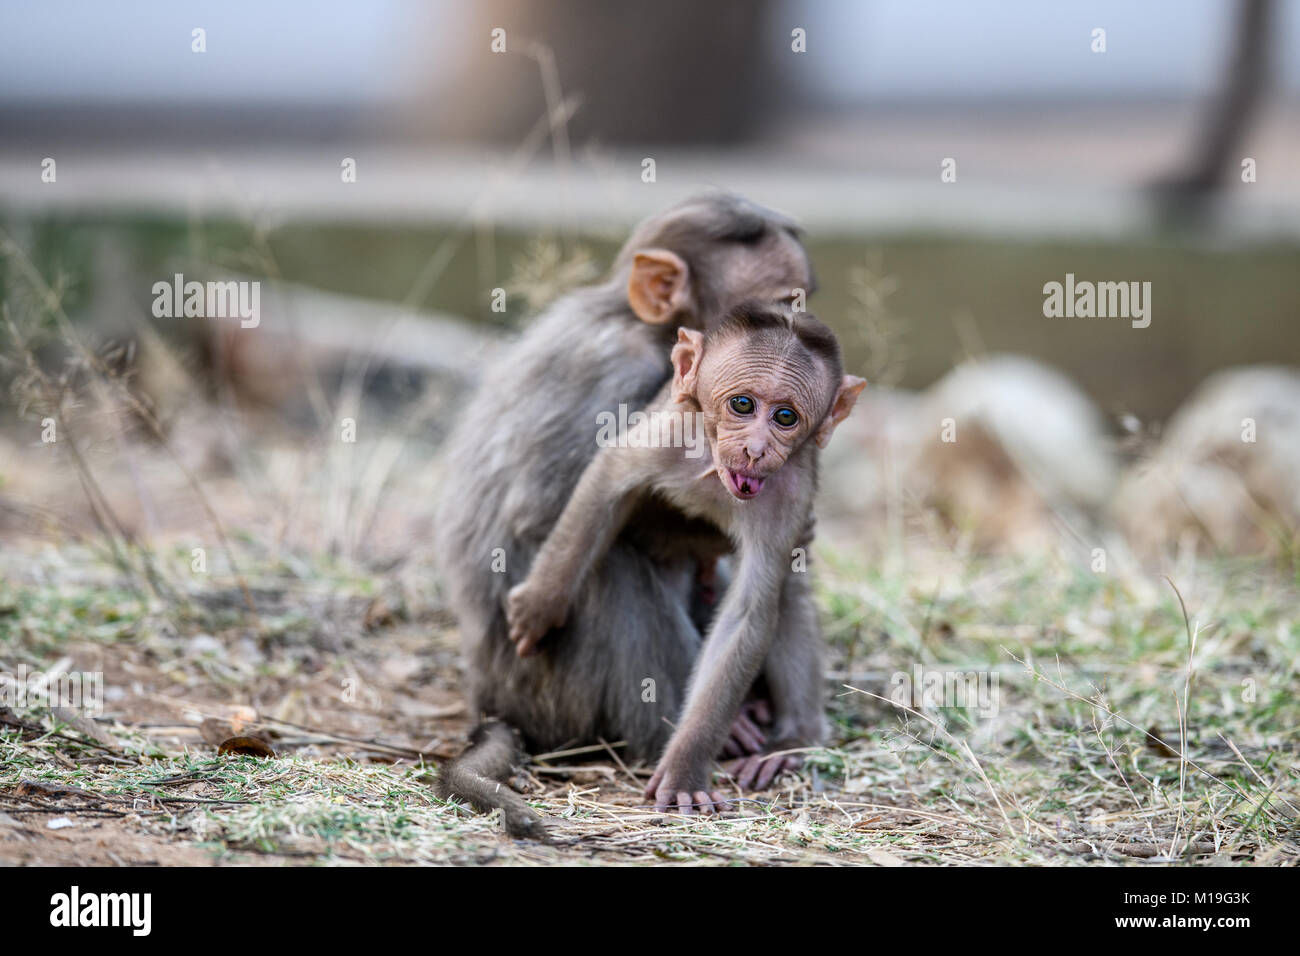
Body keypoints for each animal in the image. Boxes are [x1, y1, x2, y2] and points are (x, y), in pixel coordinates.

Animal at [436, 192, 821, 832]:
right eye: (771, 305)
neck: (642, 326)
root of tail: (490, 700)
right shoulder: (620, 370)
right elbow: (553, 508)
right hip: (549, 692)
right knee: (612, 566)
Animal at [504, 303, 863, 811]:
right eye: (742, 405)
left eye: (786, 417)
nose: (756, 450)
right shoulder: (668, 434)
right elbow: (605, 479)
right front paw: (541, 605)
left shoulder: (787, 494)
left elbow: (748, 615)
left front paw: (685, 767)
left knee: (788, 588)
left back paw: (790, 740)